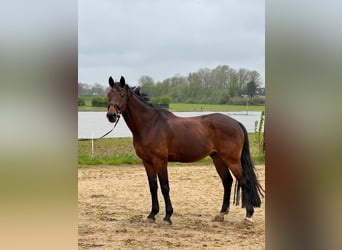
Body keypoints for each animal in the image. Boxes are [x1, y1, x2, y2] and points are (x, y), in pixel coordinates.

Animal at [107, 75, 264, 225]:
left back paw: (248, 216)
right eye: (108, 94)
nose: (111, 115)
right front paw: (152, 215)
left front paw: (167, 216)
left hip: (232, 160)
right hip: (218, 158)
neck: (150, 124)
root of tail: (236, 123)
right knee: (227, 182)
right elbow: (153, 187)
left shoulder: (160, 161)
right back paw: (221, 214)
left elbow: (165, 187)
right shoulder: (147, 162)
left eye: (122, 95)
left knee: (245, 182)